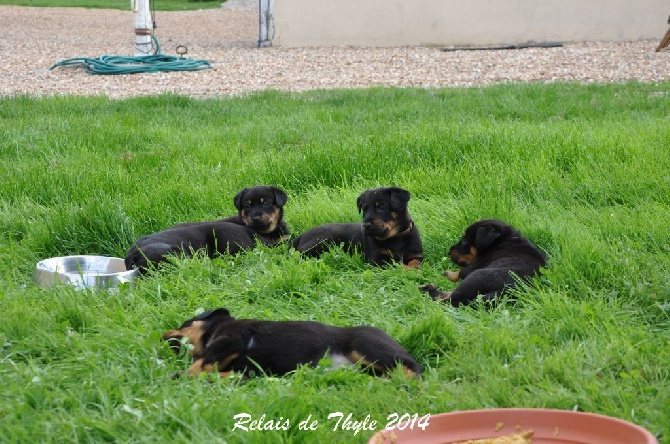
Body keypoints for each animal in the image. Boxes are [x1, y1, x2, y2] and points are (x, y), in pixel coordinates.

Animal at [163, 308, 422, 378]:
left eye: (185, 322)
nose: (163, 336)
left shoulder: (229, 340)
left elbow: (200, 364)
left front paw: (179, 375)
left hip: (365, 347)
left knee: (410, 367)